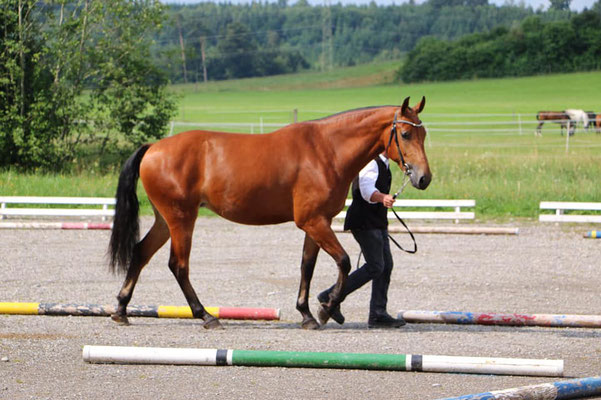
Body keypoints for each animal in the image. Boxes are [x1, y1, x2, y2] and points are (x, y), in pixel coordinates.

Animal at [108, 96, 432, 328]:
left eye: (424, 134)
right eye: (405, 134)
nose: (423, 178)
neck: (326, 150)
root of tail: (153, 148)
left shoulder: (317, 223)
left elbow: (307, 267)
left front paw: (307, 314)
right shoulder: (314, 222)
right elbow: (344, 261)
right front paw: (328, 308)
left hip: (165, 220)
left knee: (140, 253)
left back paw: (121, 309)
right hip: (181, 219)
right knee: (178, 265)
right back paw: (206, 316)